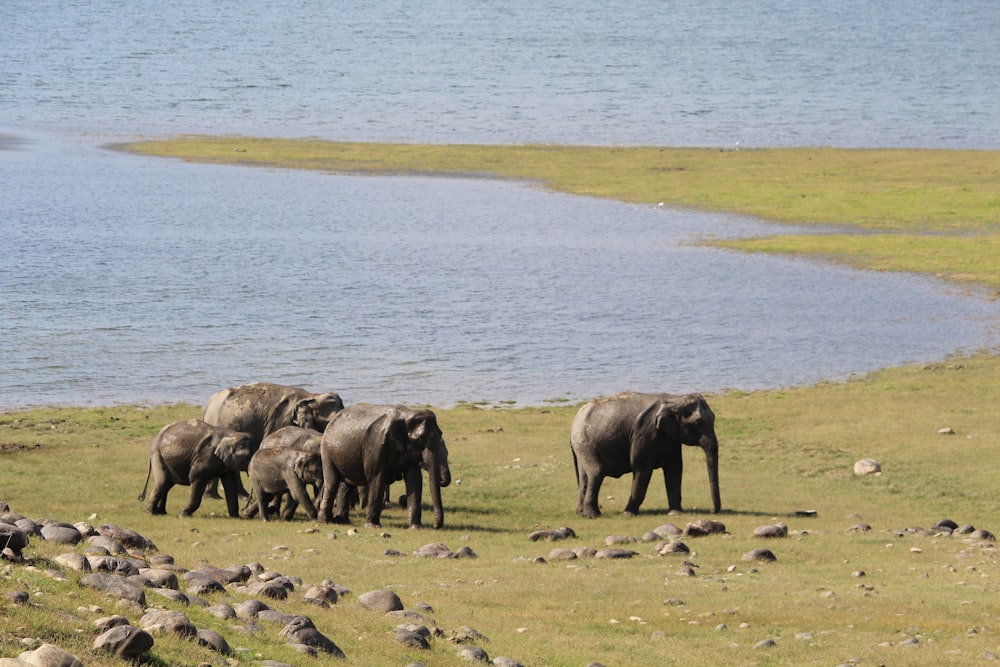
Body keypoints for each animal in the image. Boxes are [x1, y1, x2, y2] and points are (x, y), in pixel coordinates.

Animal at [201, 384, 346, 498]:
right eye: (329, 421)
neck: (311, 396)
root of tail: (208, 405)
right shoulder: (280, 420)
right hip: (218, 423)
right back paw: (214, 497)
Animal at [318, 404, 452, 528]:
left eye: (441, 433)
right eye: (419, 439)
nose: (434, 526)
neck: (408, 415)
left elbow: (414, 479)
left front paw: (416, 528)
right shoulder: (377, 445)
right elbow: (378, 478)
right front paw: (373, 526)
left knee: (346, 485)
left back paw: (342, 521)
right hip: (327, 452)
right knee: (333, 482)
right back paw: (326, 521)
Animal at [572, 394, 720, 520]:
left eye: (714, 418)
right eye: (698, 423)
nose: (712, 511)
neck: (674, 399)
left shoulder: (671, 439)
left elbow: (674, 469)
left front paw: (676, 513)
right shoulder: (645, 432)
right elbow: (641, 468)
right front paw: (628, 514)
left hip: (581, 448)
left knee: (584, 478)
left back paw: (581, 513)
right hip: (586, 444)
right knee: (596, 473)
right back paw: (593, 515)